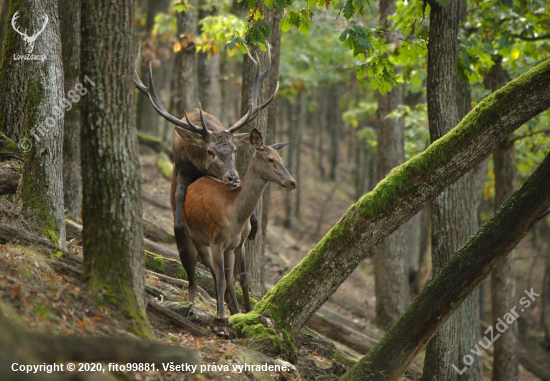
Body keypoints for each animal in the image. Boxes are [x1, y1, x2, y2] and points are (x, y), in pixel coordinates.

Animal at [184, 129, 298, 316]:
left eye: (281, 158)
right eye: (270, 159)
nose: (292, 182)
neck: (235, 216)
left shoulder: (239, 243)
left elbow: (242, 278)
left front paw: (246, 313)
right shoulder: (216, 240)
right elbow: (221, 278)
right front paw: (221, 316)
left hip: (226, 248)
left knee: (228, 276)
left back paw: (233, 310)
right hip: (194, 235)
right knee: (197, 265)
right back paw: (192, 304)